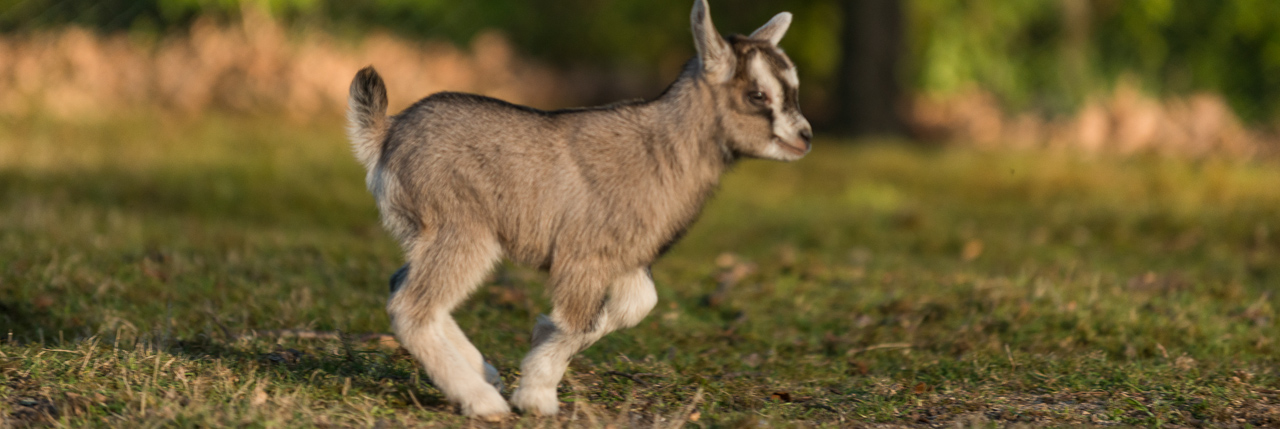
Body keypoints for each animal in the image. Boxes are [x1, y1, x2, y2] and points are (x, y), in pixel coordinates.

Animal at [343, 0, 808, 417]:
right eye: (757, 95)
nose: (804, 137)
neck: (660, 148)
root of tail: (385, 136)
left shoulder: (625, 257)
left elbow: (637, 306)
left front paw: (539, 344)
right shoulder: (584, 256)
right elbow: (581, 319)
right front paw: (537, 397)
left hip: (429, 232)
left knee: (401, 283)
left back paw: (485, 373)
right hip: (461, 227)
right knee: (411, 306)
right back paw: (482, 401)